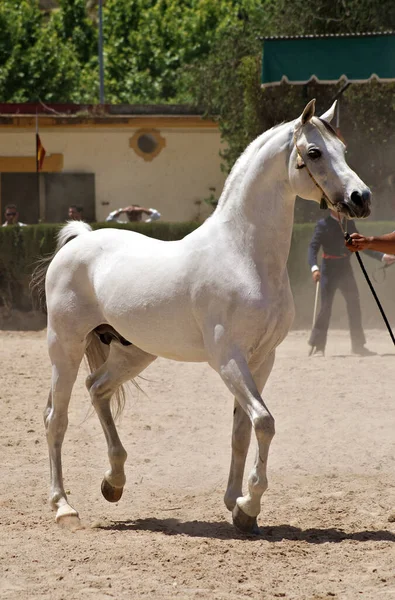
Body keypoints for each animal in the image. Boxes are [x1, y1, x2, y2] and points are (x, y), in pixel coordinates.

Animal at [33, 99, 372, 536]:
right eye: (314, 152)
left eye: (343, 150)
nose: (361, 198)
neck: (243, 255)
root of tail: (80, 239)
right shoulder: (227, 359)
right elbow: (264, 422)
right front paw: (249, 502)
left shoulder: (262, 360)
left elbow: (242, 430)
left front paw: (238, 506)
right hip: (65, 348)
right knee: (55, 418)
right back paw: (64, 507)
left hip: (133, 352)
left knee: (97, 389)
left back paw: (114, 482)